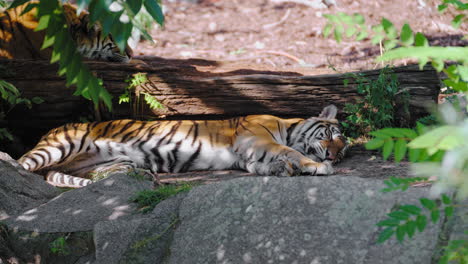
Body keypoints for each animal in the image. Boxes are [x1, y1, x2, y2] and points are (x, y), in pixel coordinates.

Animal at [17, 104, 348, 189]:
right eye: (329, 136)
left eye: (343, 148)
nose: (334, 156)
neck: (288, 127)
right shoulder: (257, 140)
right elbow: (290, 152)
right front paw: (317, 167)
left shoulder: (248, 155)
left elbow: (264, 165)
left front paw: (282, 170)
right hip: (63, 144)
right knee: (22, 161)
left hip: (114, 161)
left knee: (100, 175)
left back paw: (140, 178)